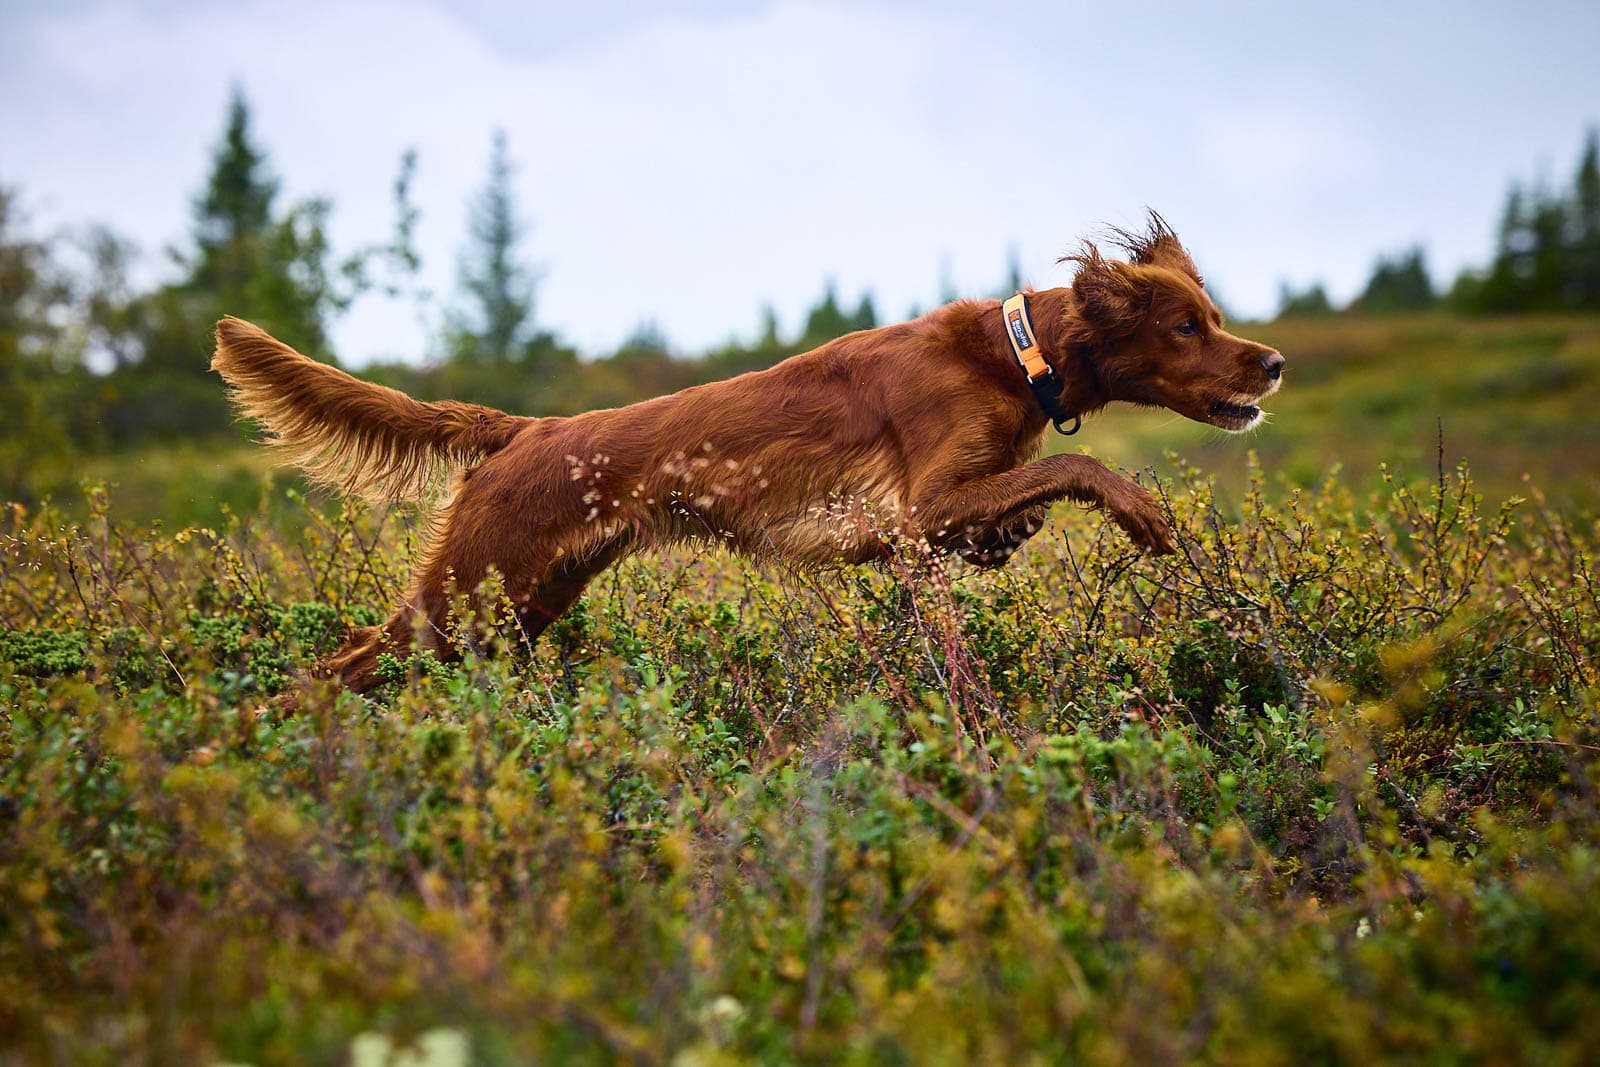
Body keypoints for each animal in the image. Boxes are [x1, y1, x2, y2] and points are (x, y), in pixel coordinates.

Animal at [216, 214, 1286, 694]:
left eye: (1211, 317)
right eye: (1186, 326)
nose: (1273, 362)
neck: (1011, 354)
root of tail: (523, 430)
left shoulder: (931, 532)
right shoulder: (920, 508)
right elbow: (1078, 467)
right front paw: (1143, 512)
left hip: (522, 605)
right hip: (461, 597)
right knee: (336, 664)